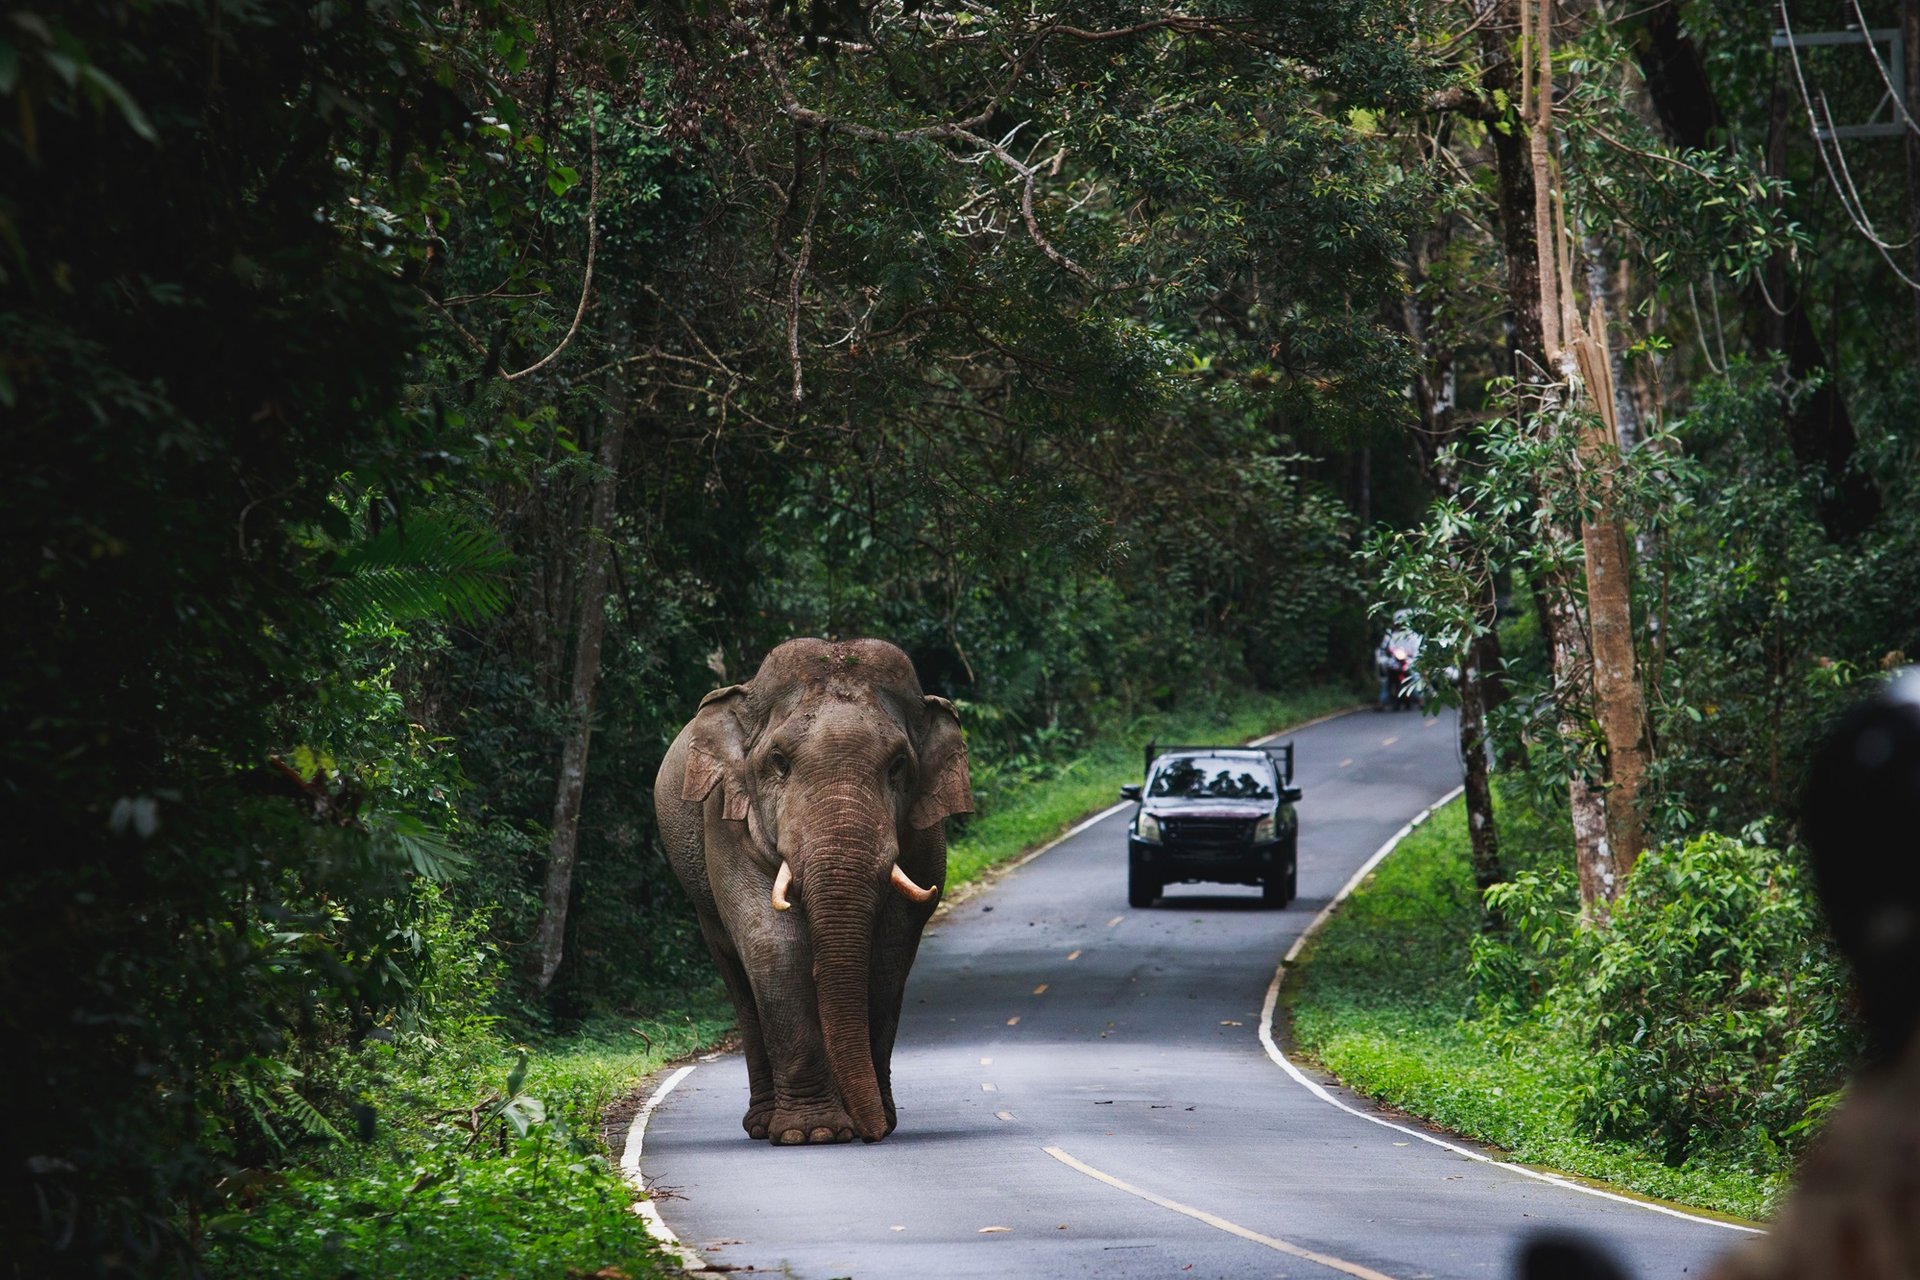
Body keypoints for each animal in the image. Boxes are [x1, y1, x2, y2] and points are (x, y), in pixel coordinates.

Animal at [656, 637, 975, 1143]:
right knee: (739, 980)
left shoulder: (925, 832)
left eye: (899, 765)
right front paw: (814, 1133)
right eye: (779, 762)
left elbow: (889, 949)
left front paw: (864, 1121)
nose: (873, 1132)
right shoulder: (724, 819)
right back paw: (762, 1125)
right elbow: (774, 943)